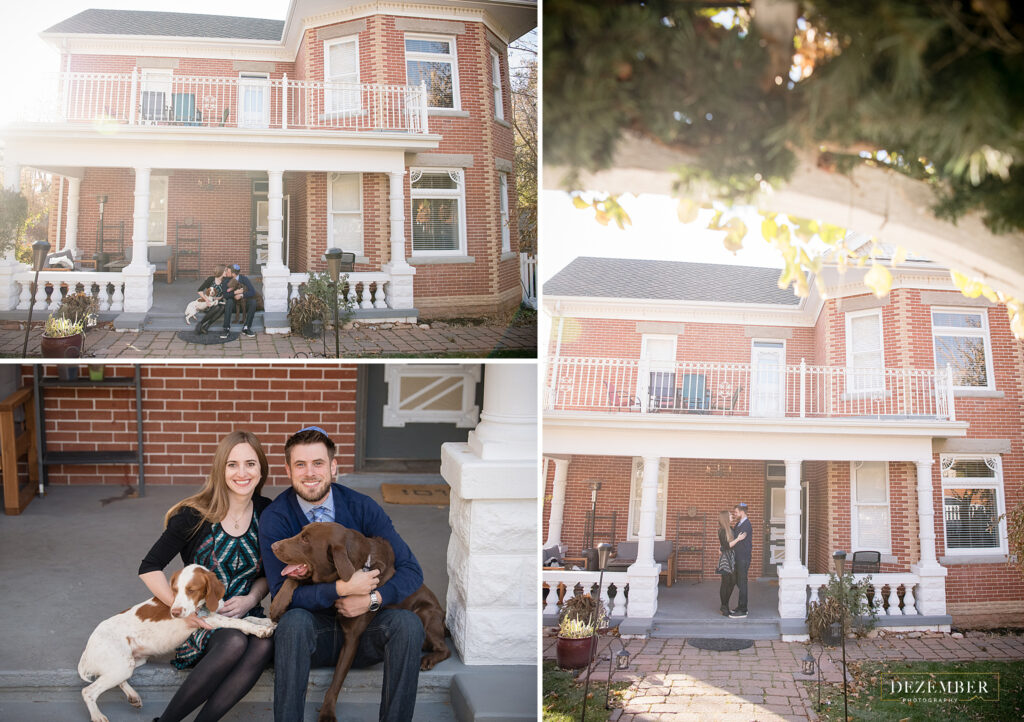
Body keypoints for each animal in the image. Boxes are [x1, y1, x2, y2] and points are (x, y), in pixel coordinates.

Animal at [77, 565, 274, 720]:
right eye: (174, 590)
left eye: (191, 590)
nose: (175, 613)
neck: (203, 605)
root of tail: (86, 651)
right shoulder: (207, 620)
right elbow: (238, 622)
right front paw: (260, 630)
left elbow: (245, 617)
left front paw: (267, 621)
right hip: (121, 665)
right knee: (88, 691)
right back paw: (97, 716)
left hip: (131, 662)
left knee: (114, 680)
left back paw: (132, 696)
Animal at [268, 520, 448, 716]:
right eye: (301, 532)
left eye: (306, 539)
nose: (273, 546)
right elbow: (293, 579)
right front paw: (278, 603)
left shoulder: (352, 639)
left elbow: (336, 681)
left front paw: (327, 713)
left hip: (426, 614)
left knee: (445, 649)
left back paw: (428, 660)